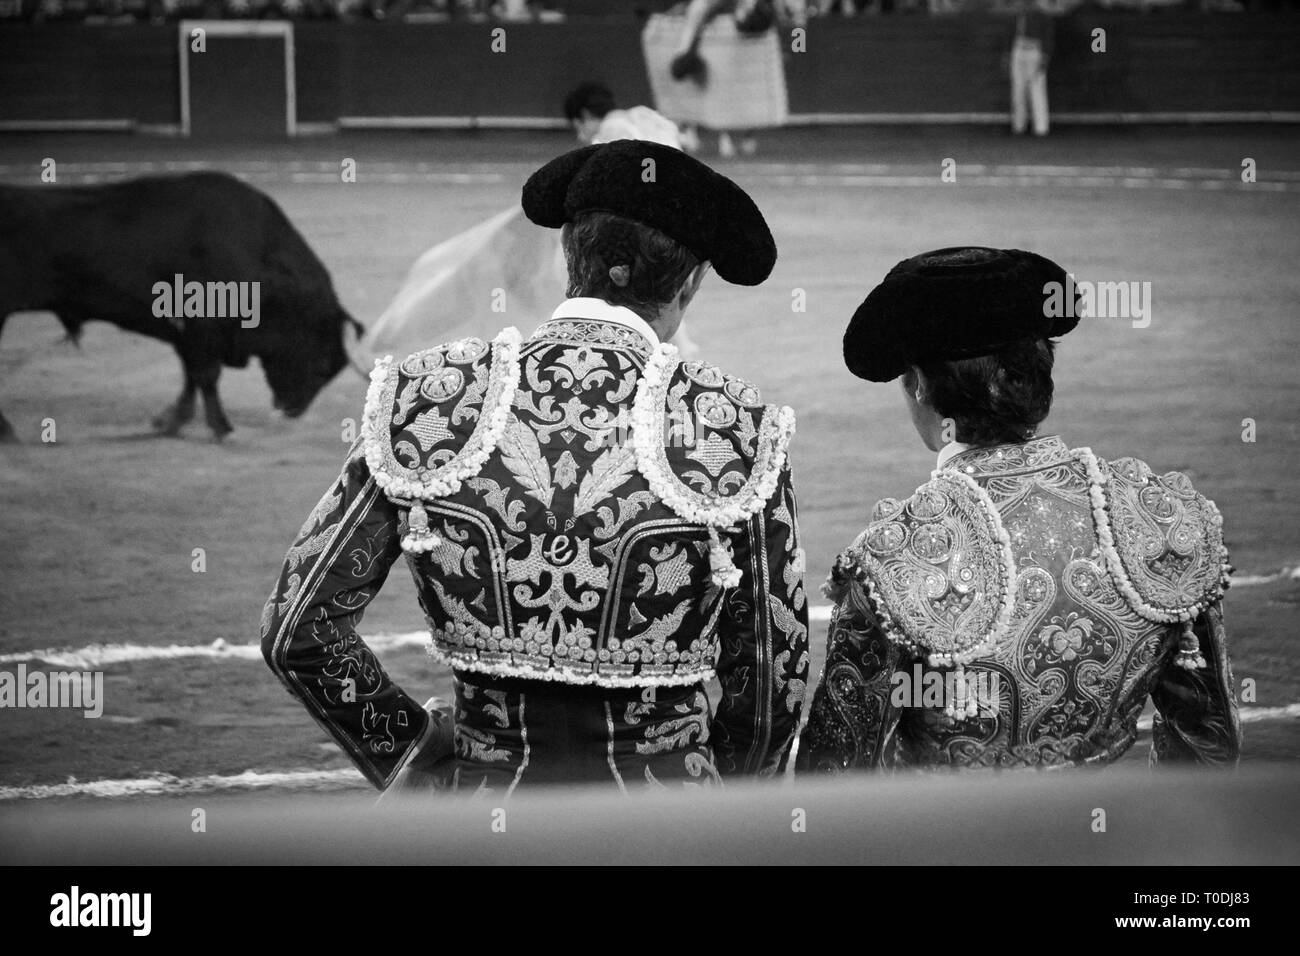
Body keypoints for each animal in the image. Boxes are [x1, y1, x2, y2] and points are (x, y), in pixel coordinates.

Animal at [0, 171, 361, 442]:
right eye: (321, 361)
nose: (293, 409)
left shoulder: (189, 332)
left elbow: (191, 374)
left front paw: (172, 419)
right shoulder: (203, 327)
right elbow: (206, 374)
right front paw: (220, 426)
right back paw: (7, 430)